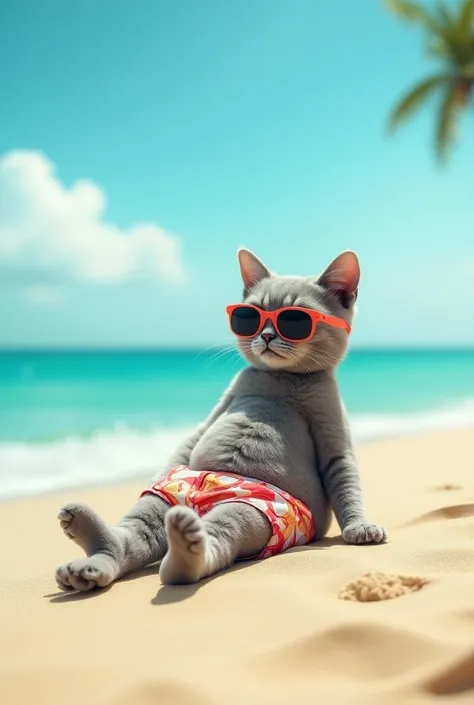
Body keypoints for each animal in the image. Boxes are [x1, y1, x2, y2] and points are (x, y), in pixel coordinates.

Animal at [55, 250, 386, 592]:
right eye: (252, 315)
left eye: (295, 319)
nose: (267, 335)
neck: (281, 379)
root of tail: (196, 505)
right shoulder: (220, 406)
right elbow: (190, 439)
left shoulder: (330, 423)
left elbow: (344, 477)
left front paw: (359, 526)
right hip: (168, 493)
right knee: (134, 535)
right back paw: (90, 557)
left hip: (259, 511)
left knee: (217, 537)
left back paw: (183, 554)